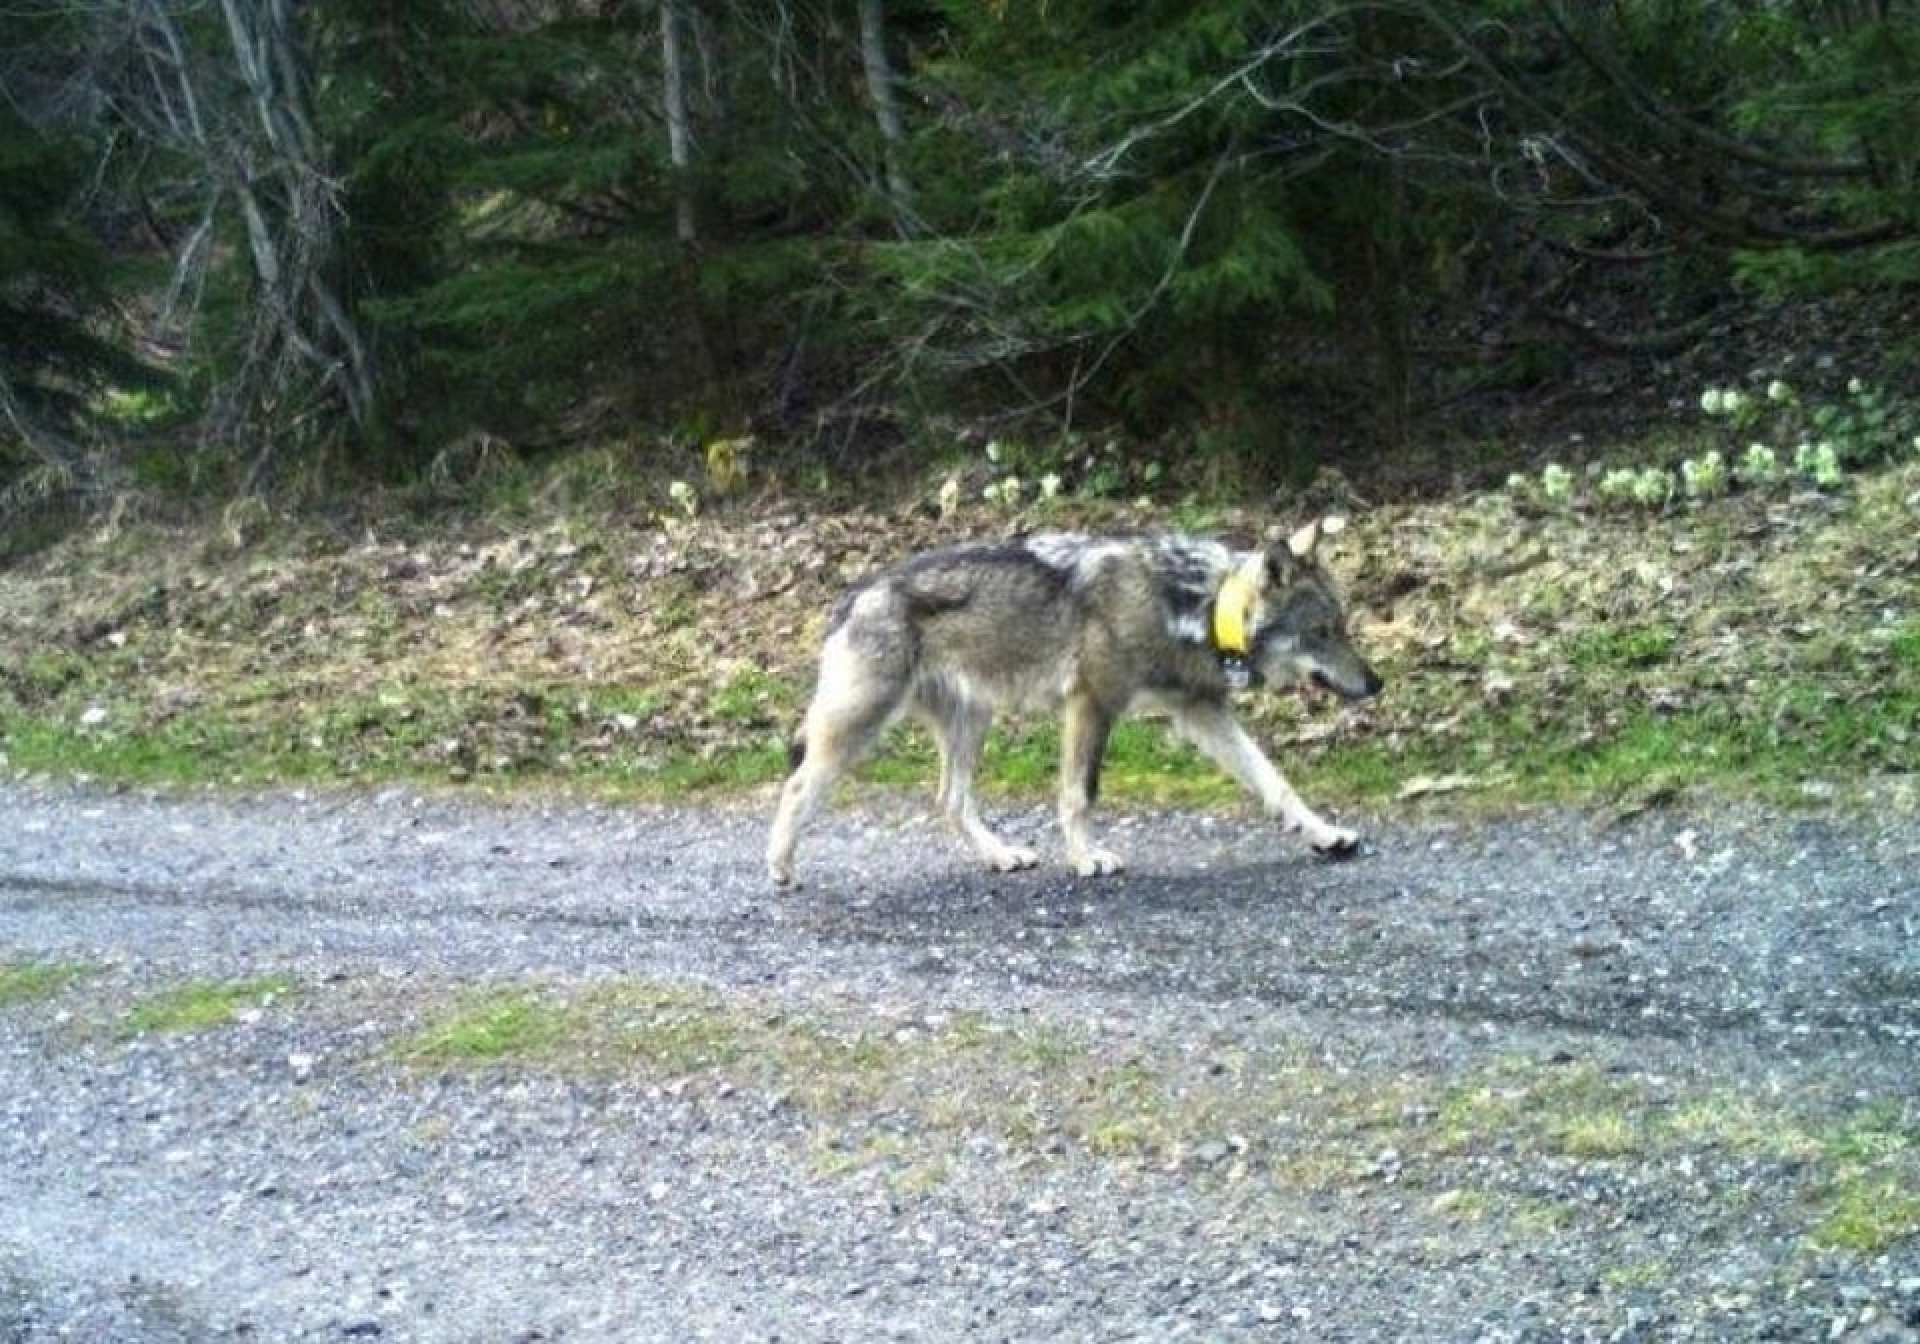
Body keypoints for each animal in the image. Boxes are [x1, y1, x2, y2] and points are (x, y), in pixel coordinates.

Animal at [764, 514, 1382, 883]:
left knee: (950, 800)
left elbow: (1276, 782)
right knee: (797, 785)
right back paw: (780, 867)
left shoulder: (1201, 714)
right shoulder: (1092, 703)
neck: (1194, 606)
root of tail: (853, 594)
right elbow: (1079, 795)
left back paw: (1002, 856)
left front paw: (1325, 835)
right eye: (1323, 632)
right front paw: (1087, 858)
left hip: (972, 724)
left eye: (1343, 627)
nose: (1377, 685)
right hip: (861, 727)